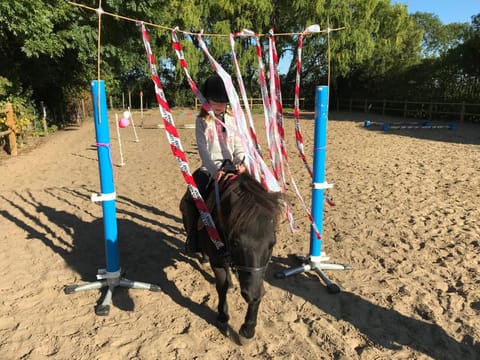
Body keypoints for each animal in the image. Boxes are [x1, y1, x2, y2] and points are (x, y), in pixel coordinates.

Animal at [182, 172, 284, 344]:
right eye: (236, 243)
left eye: (272, 244)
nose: (251, 294)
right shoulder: (217, 261)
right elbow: (221, 286)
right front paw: (223, 317)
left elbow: (258, 291)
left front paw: (248, 329)